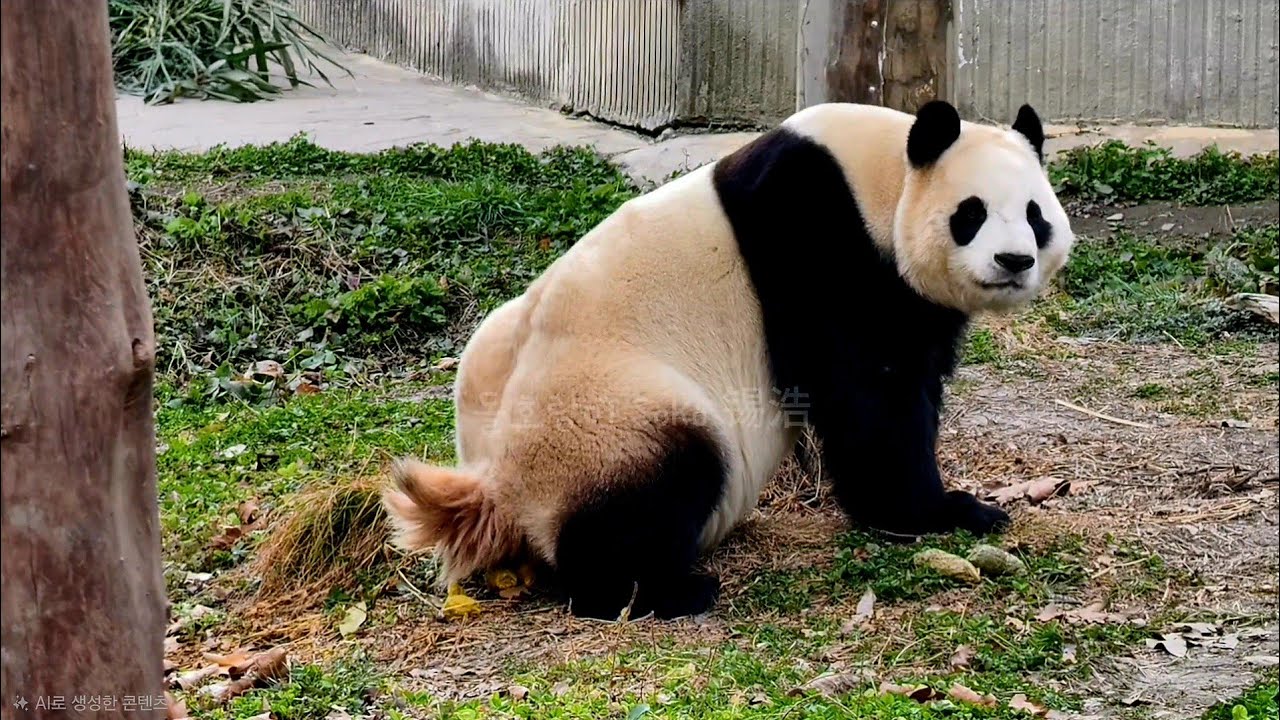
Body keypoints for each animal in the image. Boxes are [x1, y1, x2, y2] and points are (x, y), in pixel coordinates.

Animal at [382, 99, 1075, 621]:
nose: (1013, 261)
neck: (880, 174)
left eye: (1036, 215)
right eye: (971, 214)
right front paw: (945, 510)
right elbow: (870, 396)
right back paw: (658, 589)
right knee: (661, 477)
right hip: (601, 411)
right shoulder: (823, 243)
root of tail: (495, 486)